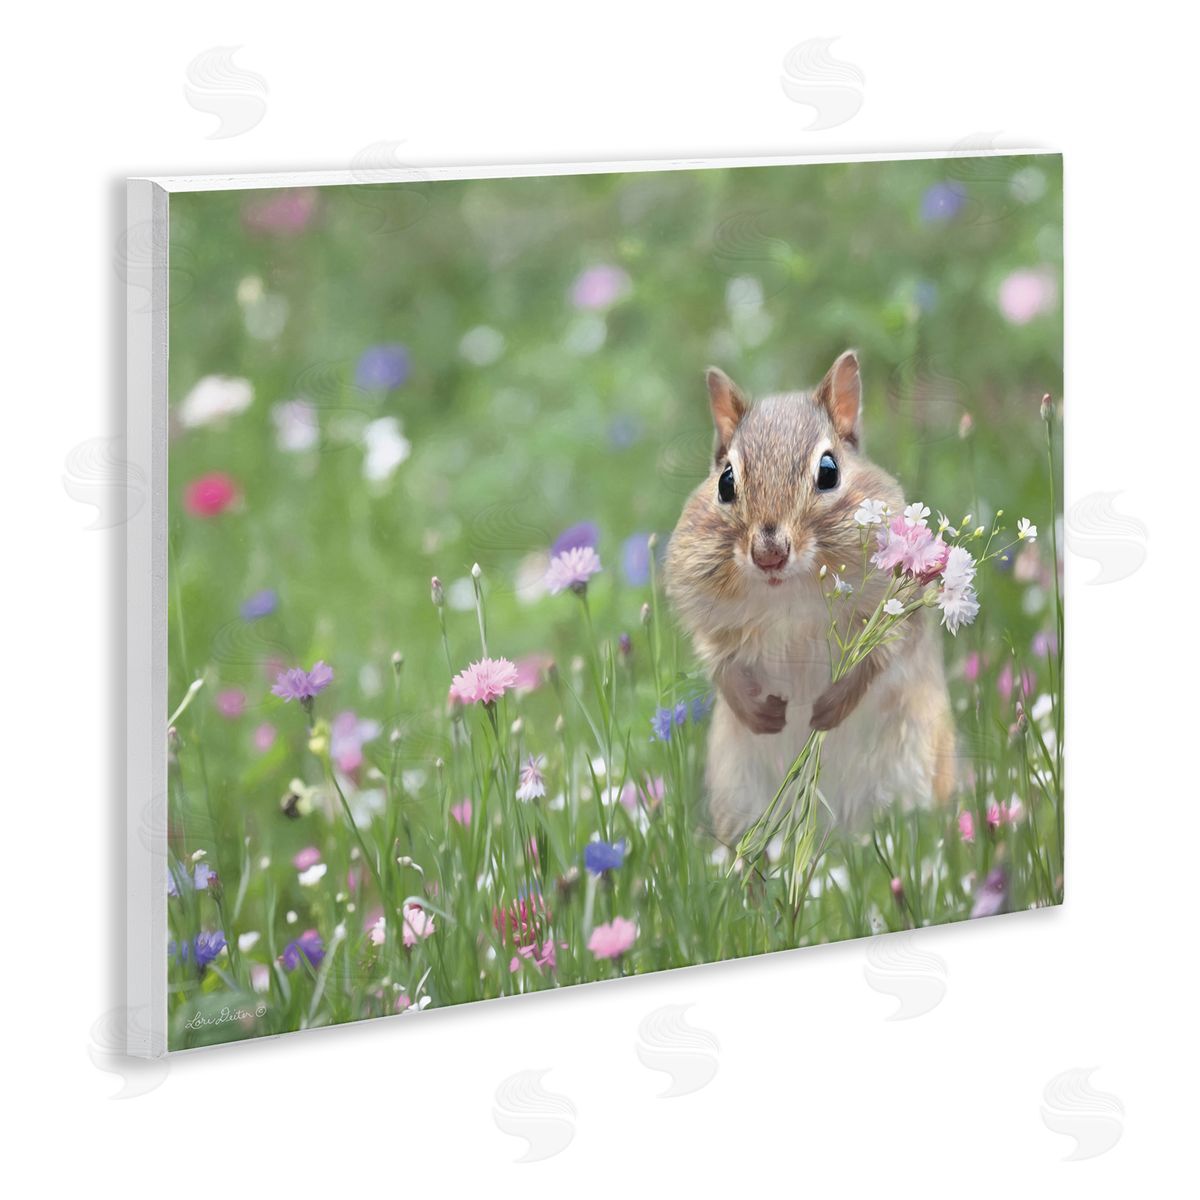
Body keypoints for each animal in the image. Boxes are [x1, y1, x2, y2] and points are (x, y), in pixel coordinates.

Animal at [665, 350, 956, 844]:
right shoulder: (709, 617)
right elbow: (719, 663)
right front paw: (760, 714)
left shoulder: (896, 613)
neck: (787, 594)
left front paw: (827, 710)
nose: (769, 554)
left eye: (828, 471)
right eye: (725, 482)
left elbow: (880, 658)